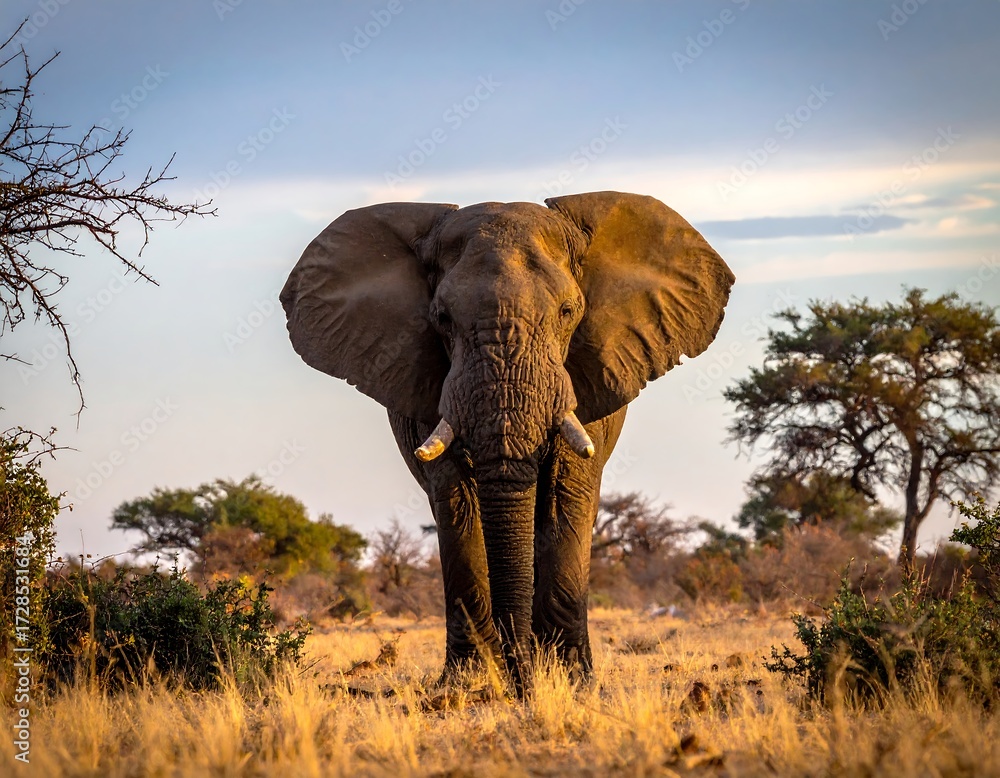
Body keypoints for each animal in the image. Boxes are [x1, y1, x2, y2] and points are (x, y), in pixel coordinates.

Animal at [280, 191, 734, 694]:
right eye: (441, 318)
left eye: (568, 312)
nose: (522, 685)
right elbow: (457, 501)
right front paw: (469, 682)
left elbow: (566, 492)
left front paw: (570, 681)